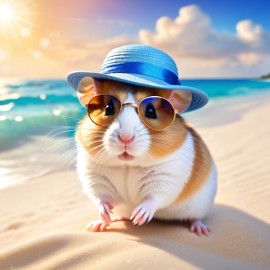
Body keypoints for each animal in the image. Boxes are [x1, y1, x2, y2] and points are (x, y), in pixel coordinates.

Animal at [75, 76, 217, 236]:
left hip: (200, 207)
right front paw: (104, 216)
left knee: (195, 218)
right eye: (108, 108)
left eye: (151, 111)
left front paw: (138, 217)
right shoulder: (94, 179)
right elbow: (100, 198)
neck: (127, 165)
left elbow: (154, 199)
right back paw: (100, 224)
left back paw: (202, 230)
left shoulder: (167, 178)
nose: (125, 138)